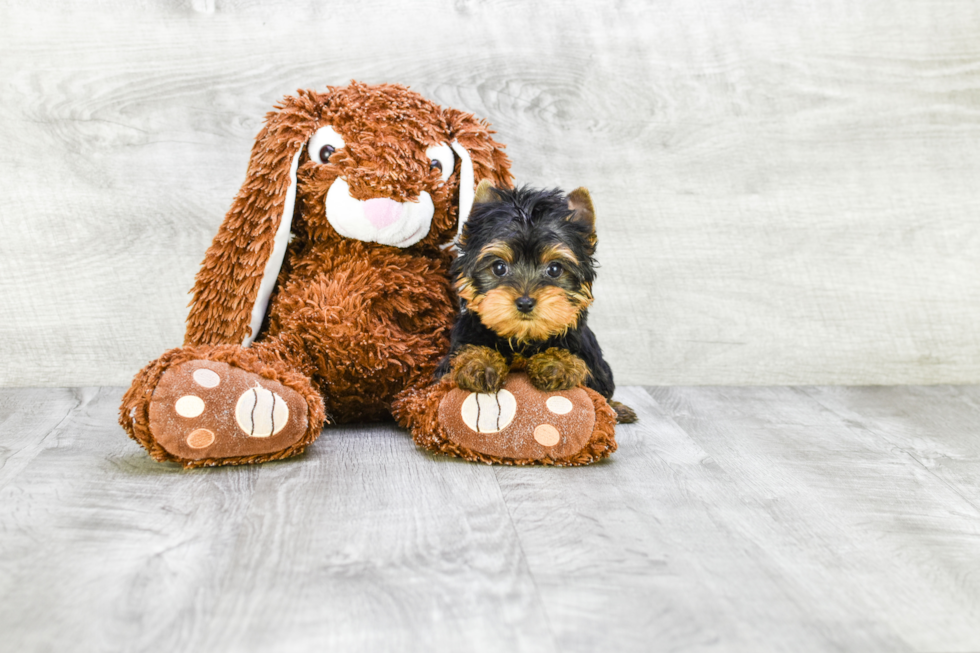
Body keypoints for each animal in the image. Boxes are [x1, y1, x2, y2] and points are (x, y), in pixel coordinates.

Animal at [434, 181, 636, 422]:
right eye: (499, 267)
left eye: (555, 269)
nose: (525, 302)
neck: (523, 338)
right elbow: (465, 353)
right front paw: (479, 362)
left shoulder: (588, 358)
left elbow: (577, 364)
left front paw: (557, 364)